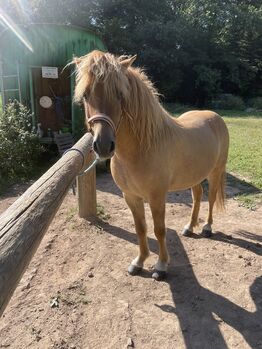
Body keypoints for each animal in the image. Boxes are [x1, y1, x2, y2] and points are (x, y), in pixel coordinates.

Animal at [72, 50, 229, 280]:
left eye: (120, 94)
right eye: (85, 95)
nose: (103, 145)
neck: (142, 148)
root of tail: (215, 116)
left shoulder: (157, 196)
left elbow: (159, 229)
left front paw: (161, 266)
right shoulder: (130, 196)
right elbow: (141, 229)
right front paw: (139, 262)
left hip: (215, 172)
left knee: (210, 198)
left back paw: (207, 228)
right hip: (194, 176)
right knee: (197, 196)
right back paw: (190, 227)